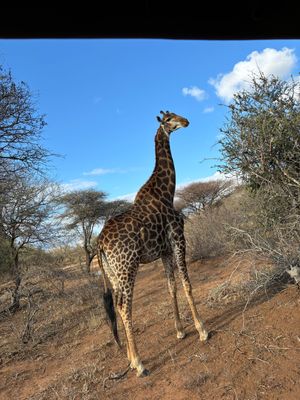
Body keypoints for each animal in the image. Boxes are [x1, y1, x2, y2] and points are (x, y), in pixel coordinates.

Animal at [97, 111, 207, 376]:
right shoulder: (178, 239)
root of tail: (99, 244)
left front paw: (180, 331)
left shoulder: (165, 251)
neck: (167, 191)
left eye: (175, 114)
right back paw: (139, 363)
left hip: (113, 273)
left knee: (118, 305)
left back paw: (129, 359)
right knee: (124, 306)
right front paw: (202, 330)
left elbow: (171, 287)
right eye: (168, 120)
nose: (186, 121)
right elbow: (187, 284)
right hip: (128, 267)